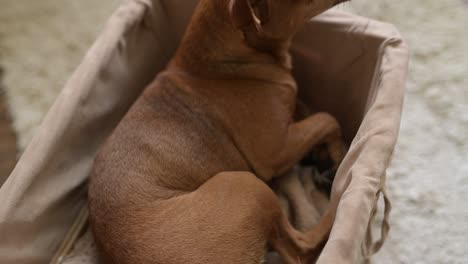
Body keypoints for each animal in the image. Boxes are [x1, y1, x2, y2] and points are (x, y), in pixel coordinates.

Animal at [89, 1, 348, 262]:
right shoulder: (276, 151)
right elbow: (328, 119)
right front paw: (337, 155)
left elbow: (307, 111)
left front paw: (323, 155)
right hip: (246, 185)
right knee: (301, 248)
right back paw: (338, 197)